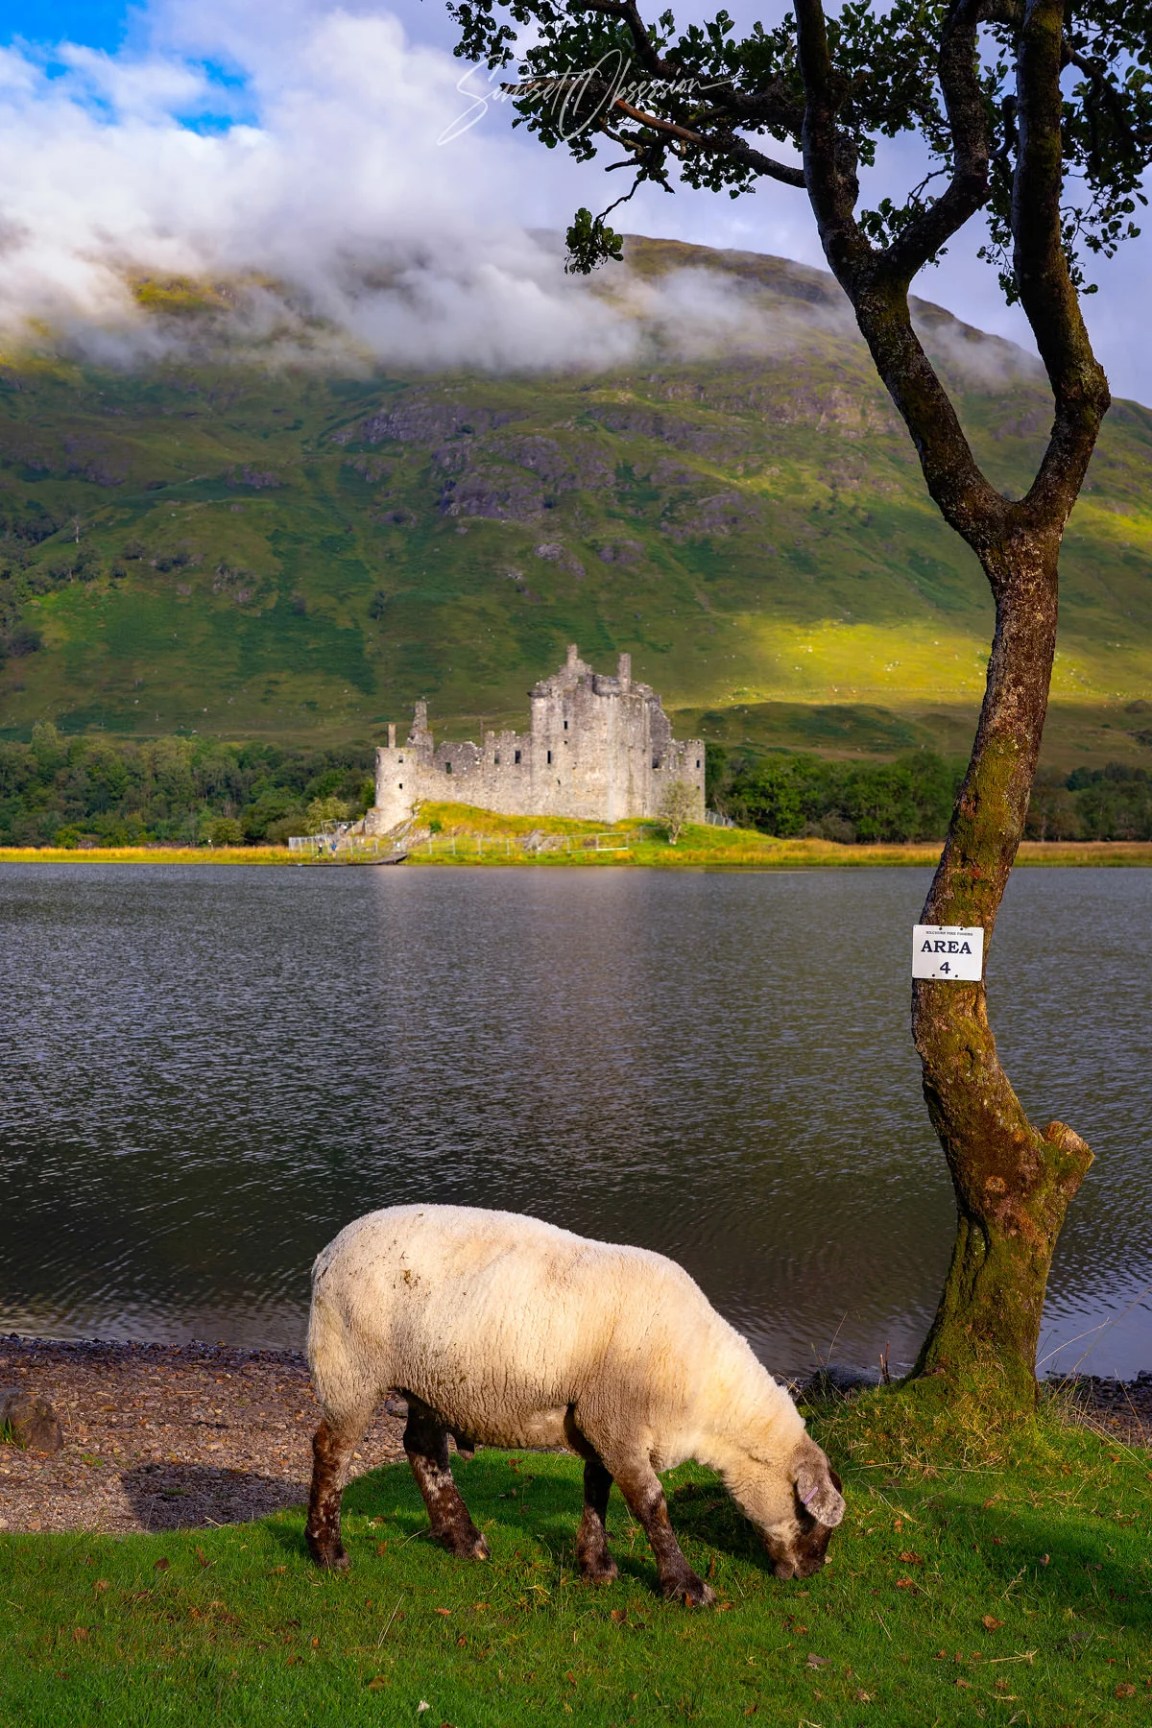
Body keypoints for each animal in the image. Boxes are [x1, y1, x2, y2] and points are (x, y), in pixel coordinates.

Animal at [305, 1204, 845, 1604]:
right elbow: (652, 1505)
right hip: (350, 1370)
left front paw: (596, 1565)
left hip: (427, 1381)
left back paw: (462, 1539)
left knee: (423, 1449)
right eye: (806, 1516)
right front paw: (686, 1586)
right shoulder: (617, 1422)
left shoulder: (598, 1421)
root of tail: (327, 1251)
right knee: (331, 1451)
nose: (811, 1571)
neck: (707, 1398)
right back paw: (327, 1550)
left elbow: (596, 1488)